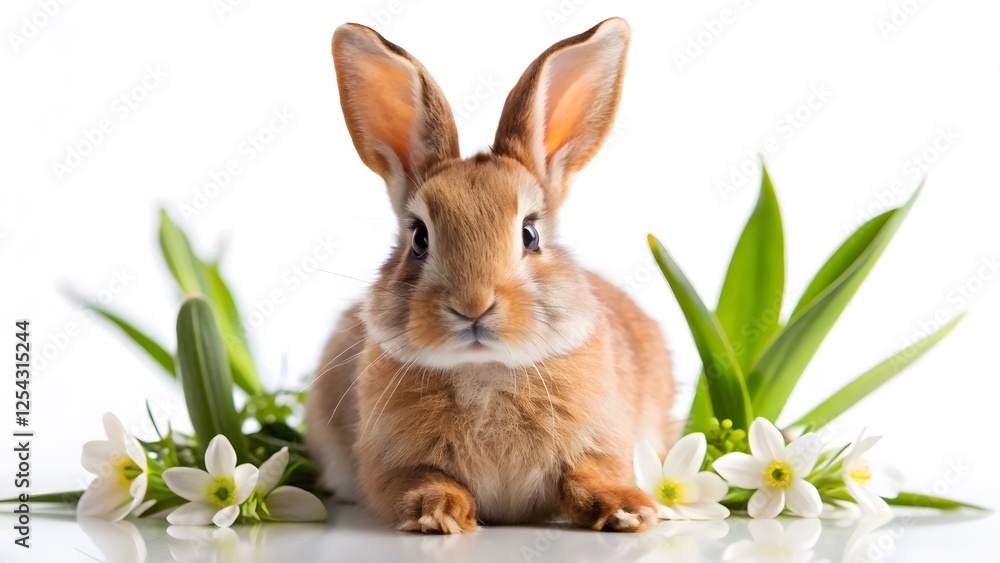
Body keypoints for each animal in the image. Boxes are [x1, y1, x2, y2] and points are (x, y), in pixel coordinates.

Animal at [305, 17, 676, 534]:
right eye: (419, 238)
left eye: (530, 234)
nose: (473, 305)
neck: (484, 373)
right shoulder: (391, 464)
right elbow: (421, 480)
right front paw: (437, 514)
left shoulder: (602, 441)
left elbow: (587, 475)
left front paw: (626, 510)